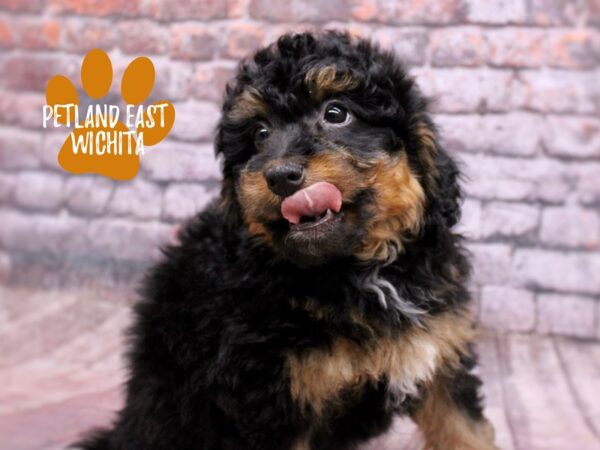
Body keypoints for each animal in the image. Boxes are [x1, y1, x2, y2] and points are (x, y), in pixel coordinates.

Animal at [76, 30, 496, 450]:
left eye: (336, 113)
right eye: (260, 133)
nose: (280, 176)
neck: (360, 272)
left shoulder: (442, 356)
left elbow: (464, 430)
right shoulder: (273, 398)